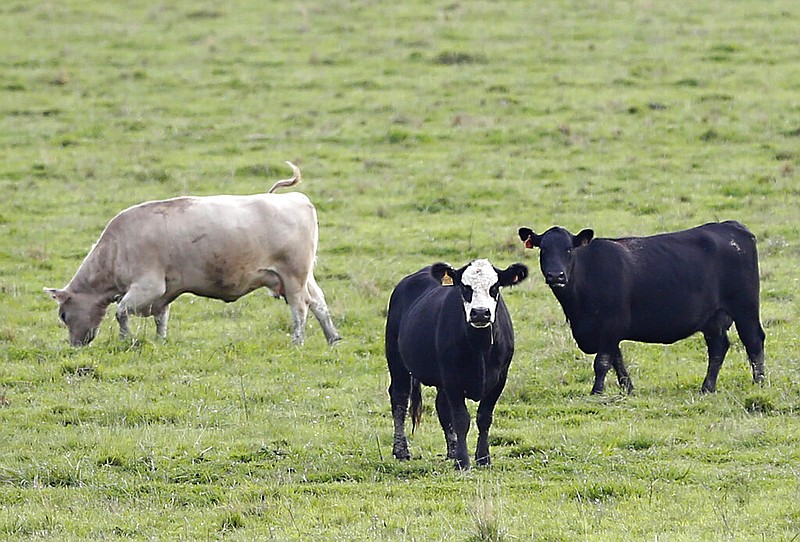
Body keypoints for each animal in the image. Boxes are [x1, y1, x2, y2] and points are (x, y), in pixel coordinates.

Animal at [44, 163, 340, 348]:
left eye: (63, 315)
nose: (75, 346)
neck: (116, 248)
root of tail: (296, 199)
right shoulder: (163, 293)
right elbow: (161, 319)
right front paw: (160, 341)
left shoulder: (148, 286)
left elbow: (121, 312)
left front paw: (125, 340)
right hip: (304, 277)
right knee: (319, 303)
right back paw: (333, 338)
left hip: (293, 277)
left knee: (300, 308)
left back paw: (297, 341)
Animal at [384, 260, 528, 472]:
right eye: (465, 287)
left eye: (494, 287)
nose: (480, 313)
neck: (480, 347)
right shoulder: (452, 378)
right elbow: (461, 419)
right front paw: (463, 462)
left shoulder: (500, 378)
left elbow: (484, 417)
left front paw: (483, 458)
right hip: (397, 361)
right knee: (400, 399)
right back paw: (401, 451)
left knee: (442, 407)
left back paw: (452, 451)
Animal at [516, 221, 764, 396]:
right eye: (543, 250)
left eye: (569, 250)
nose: (556, 275)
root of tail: (731, 226)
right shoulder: (606, 331)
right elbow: (616, 359)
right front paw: (627, 388)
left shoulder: (612, 323)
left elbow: (602, 362)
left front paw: (597, 391)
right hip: (713, 318)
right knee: (718, 347)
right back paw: (707, 387)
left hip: (745, 307)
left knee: (753, 340)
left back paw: (759, 382)